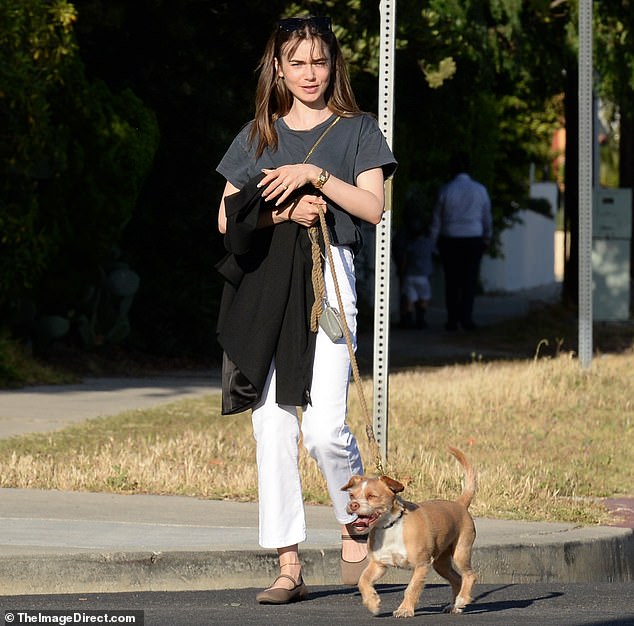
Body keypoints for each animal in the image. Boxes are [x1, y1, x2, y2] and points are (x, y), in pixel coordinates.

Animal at [340, 446, 474, 616]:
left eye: (372, 496)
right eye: (351, 495)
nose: (353, 505)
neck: (390, 526)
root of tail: (459, 504)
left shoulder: (422, 565)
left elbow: (411, 589)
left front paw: (404, 609)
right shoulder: (378, 564)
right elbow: (363, 580)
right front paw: (372, 602)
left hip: (460, 552)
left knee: (470, 575)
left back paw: (462, 599)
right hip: (440, 563)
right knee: (457, 579)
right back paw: (455, 605)